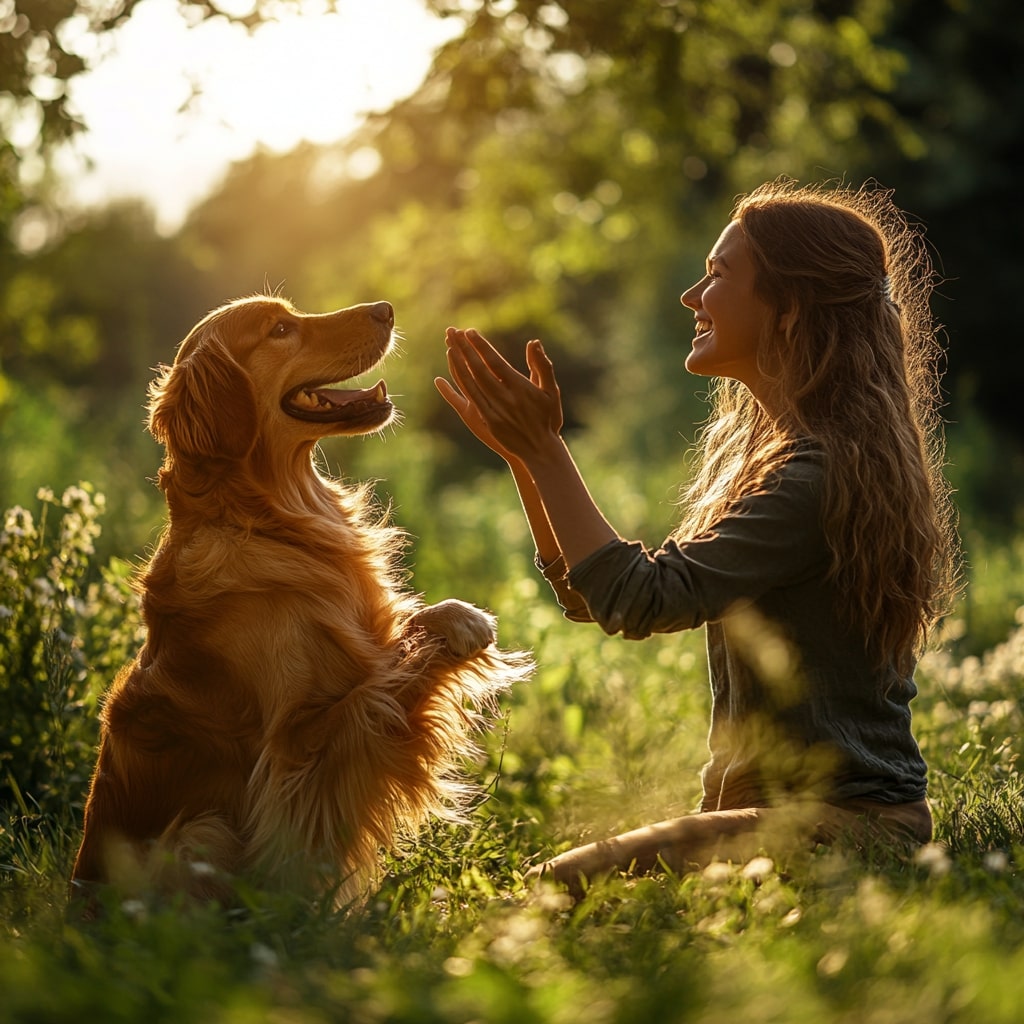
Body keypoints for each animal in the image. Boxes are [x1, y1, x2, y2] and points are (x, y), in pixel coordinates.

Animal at [71, 294, 532, 905]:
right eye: (280, 329)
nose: (385, 308)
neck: (272, 518)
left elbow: (397, 639)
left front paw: (447, 617)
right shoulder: (299, 744)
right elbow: (377, 689)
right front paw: (459, 624)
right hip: (201, 831)